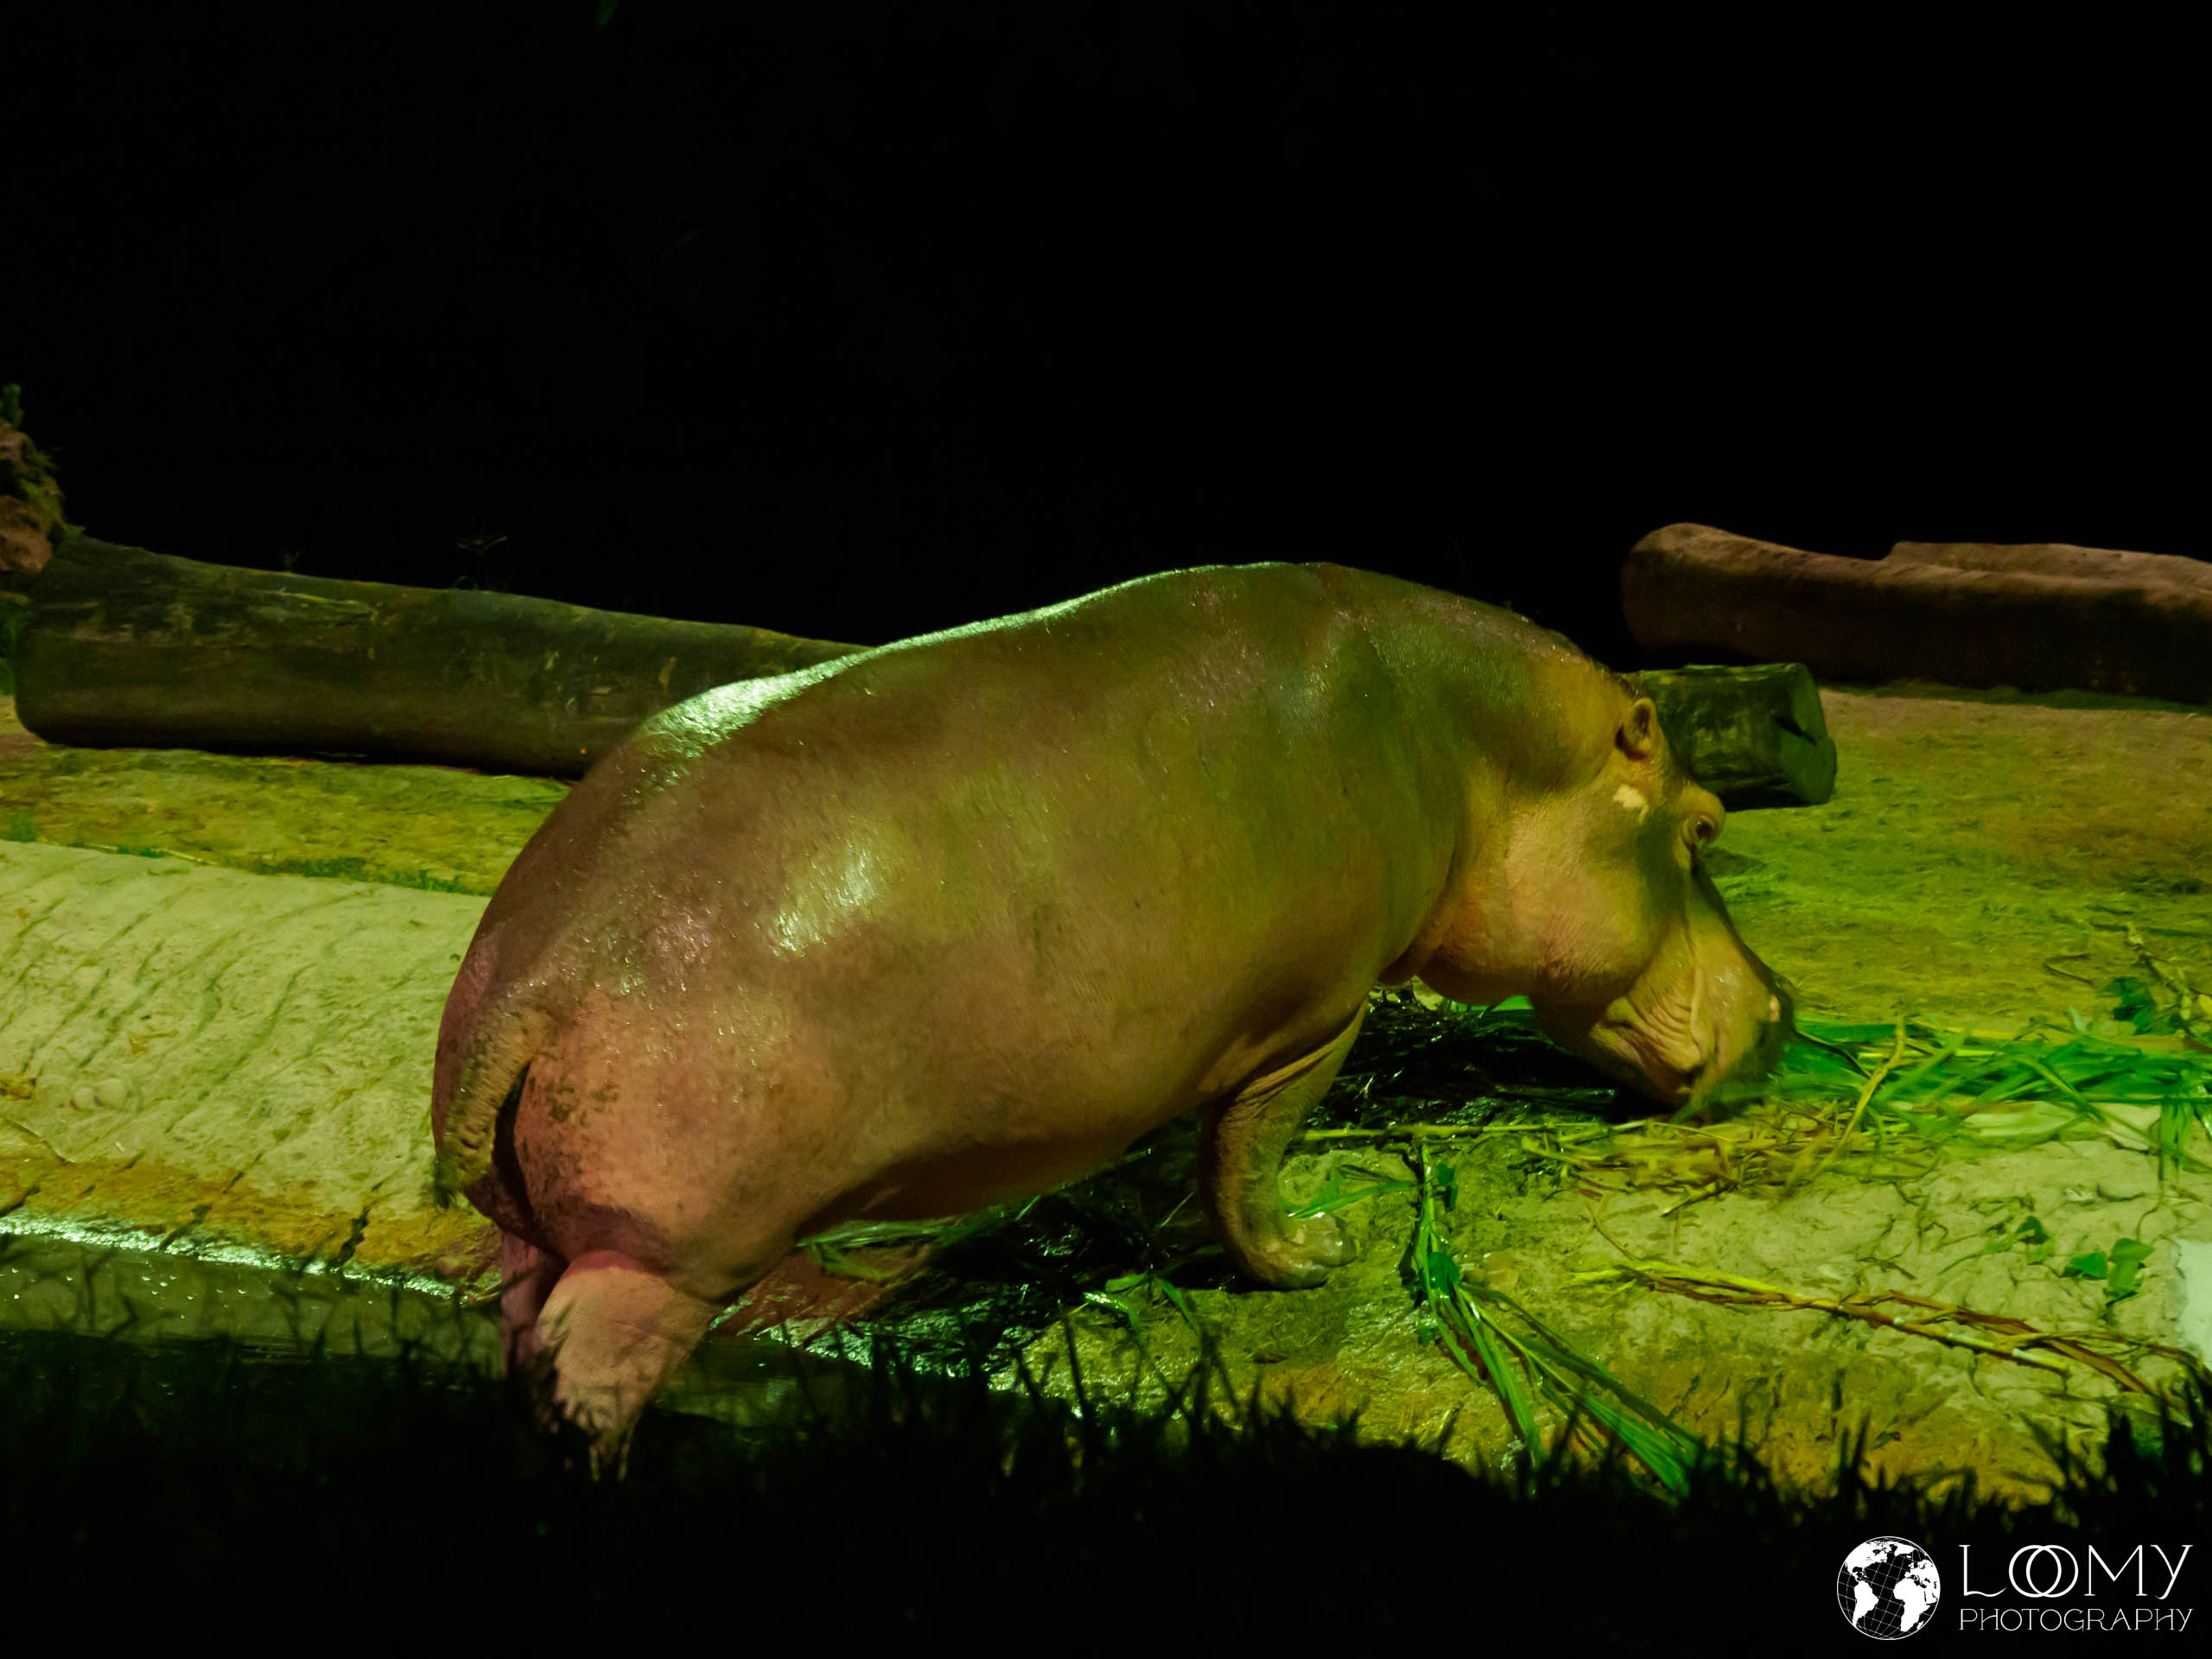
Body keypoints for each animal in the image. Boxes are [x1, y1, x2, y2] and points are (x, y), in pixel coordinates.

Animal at [431, 562, 1791, 1471]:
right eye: (1706, 825)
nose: (1783, 1007)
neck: (1473, 744)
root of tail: (538, 975)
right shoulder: (1318, 1019)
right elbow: (1248, 1161)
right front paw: (1314, 1256)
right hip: (660, 1261)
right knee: (594, 1377)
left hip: (534, 1227)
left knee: (521, 1341)